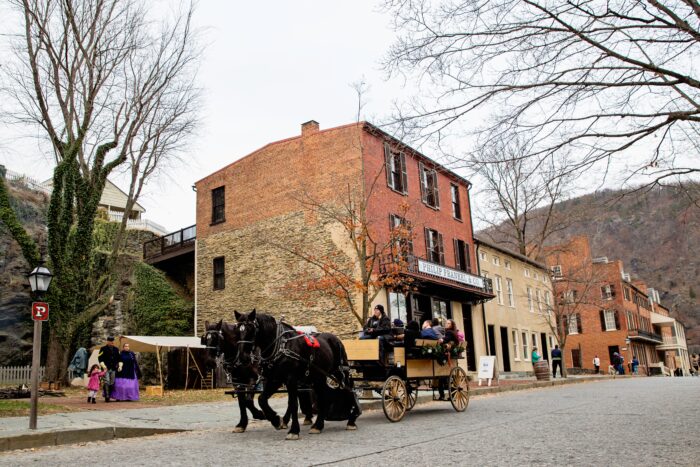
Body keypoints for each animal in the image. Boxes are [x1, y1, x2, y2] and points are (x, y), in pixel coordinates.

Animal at [235, 308, 358, 440]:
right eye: (237, 329)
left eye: (251, 328)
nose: (242, 357)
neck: (281, 346)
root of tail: (336, 339)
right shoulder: (274, 379)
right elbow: (262, 399)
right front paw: (275, 420)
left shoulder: (291, 379)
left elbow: (293, 404)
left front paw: (293, 430)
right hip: (318, 377)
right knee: (323, 397)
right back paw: (318, 425)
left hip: (341, 372)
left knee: (349, 390)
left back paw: (351, 421)